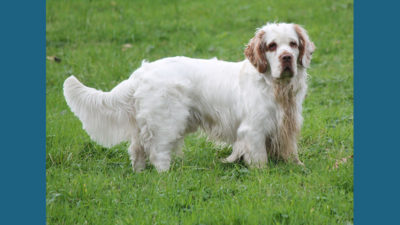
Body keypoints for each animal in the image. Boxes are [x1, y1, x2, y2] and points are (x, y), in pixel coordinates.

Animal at [64, 22, 316, 172]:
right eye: (272, 46)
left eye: (293, 44)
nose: (286, 58)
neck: (275, 87)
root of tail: (141, 71)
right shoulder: (253, 129)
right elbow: (259, 158)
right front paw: (262, 175)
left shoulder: (287, 124)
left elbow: (291, 150)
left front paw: (297, 166)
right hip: (168, 123)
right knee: (158, 153)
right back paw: (166, 176)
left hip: (143, 124)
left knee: (137, 150)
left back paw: (139, 173)